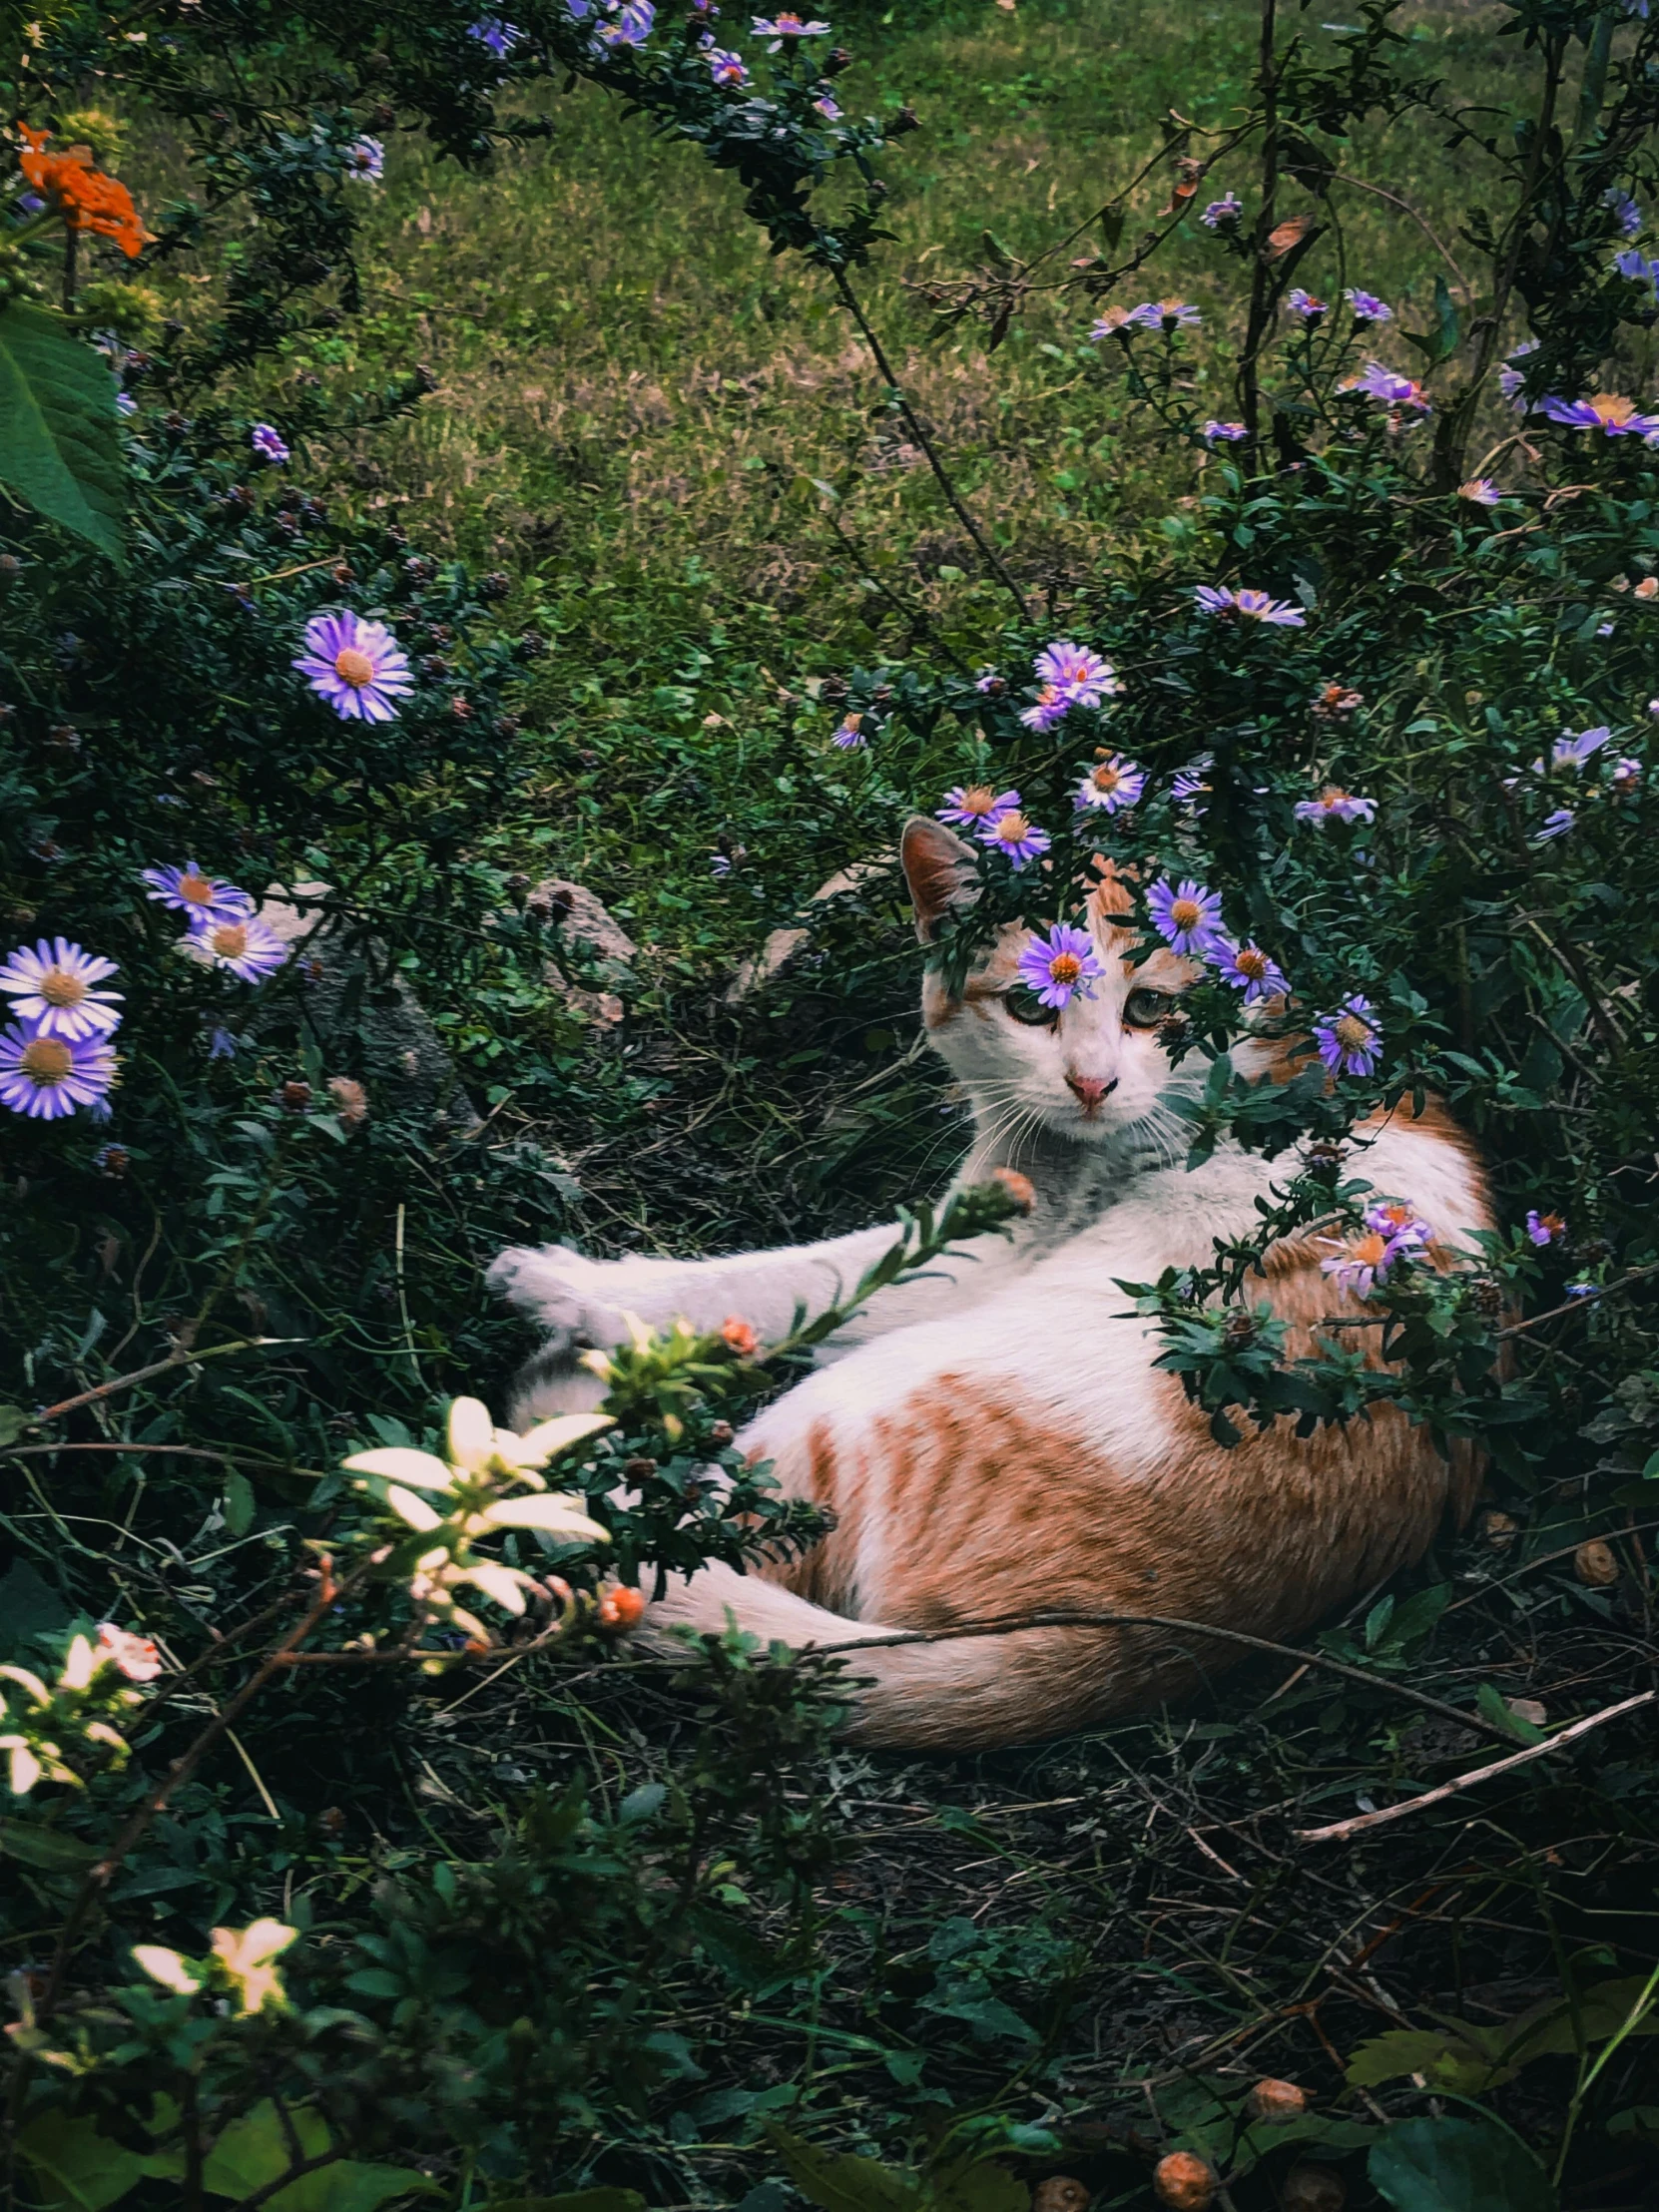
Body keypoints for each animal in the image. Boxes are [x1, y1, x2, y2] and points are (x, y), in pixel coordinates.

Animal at [490, 814, 1495, 1743]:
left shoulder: (972, 1256)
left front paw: (571, 1286)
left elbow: (775, 1281)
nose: (1091, 1083)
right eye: (1029, 1006)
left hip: (847, 1406)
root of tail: (1128, 1637)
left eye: (1149, 1011)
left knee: (665, 1538)